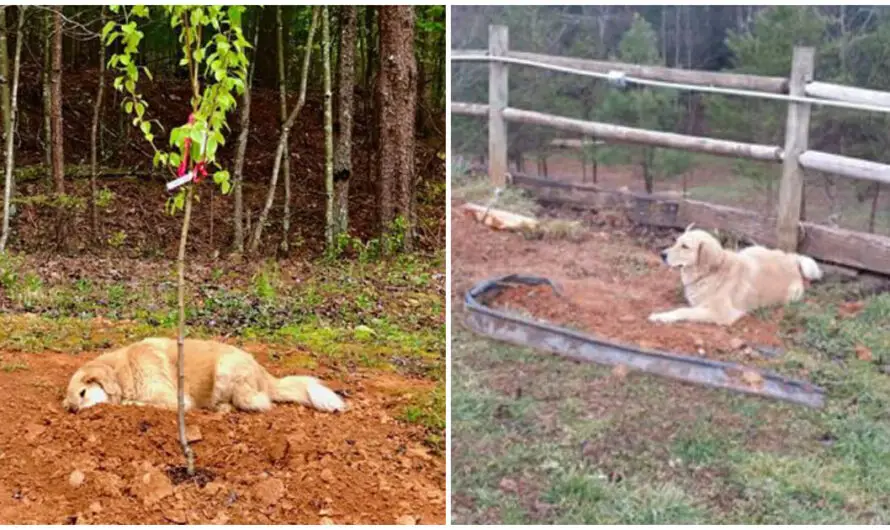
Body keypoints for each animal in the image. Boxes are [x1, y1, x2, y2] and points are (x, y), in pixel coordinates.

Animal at [60, 338, 346, 412]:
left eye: (83, 393)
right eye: (72, 403)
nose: (75, 411)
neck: (123, 371)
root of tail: (264, 373)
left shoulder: (174, 400)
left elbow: (140, 403)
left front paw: (130, 403)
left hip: (225, 370)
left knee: (260, 403)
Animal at [640, 224, 824, 324]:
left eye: (685, 247)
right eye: (676, 242)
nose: (662, 254)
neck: (710, 273)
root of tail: (791, 259)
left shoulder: (721, 314)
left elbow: (683, 311)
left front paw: (661, 316)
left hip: (792, 295)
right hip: (750, 250)